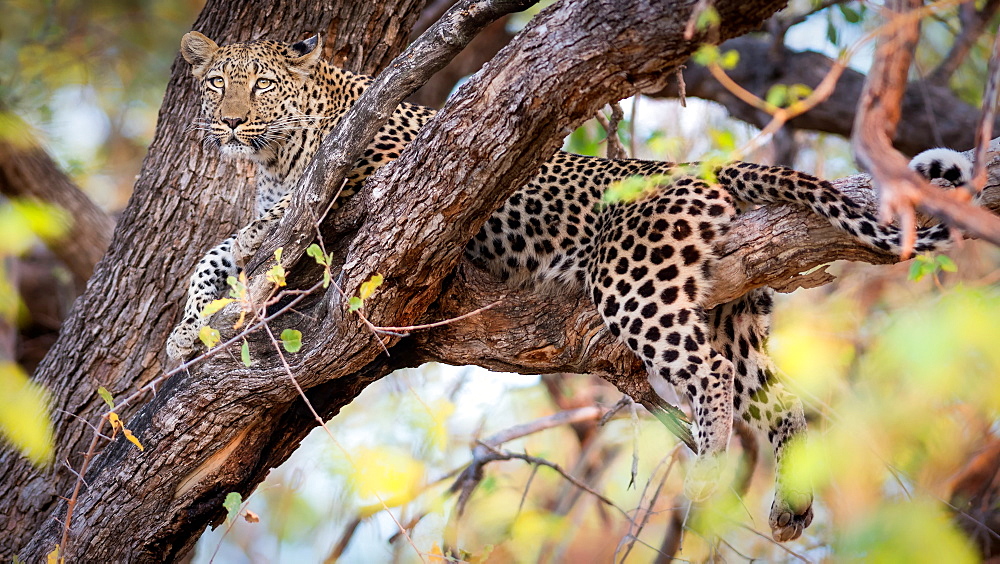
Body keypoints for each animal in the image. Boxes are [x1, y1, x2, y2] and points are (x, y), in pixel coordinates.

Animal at [168, 32, 972, 540]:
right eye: (218, 86)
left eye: (262, 84)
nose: (231, 122)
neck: (282, 150)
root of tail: (690, 171)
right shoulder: (282, 210)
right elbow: (214, 255)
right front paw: (184, 332)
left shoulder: (362, 187)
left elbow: (272, 241)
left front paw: (206, 316)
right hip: (736, 309)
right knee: (778, 399)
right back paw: (790, 508)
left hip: (635, 281)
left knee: (711, 375)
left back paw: (708, 473)